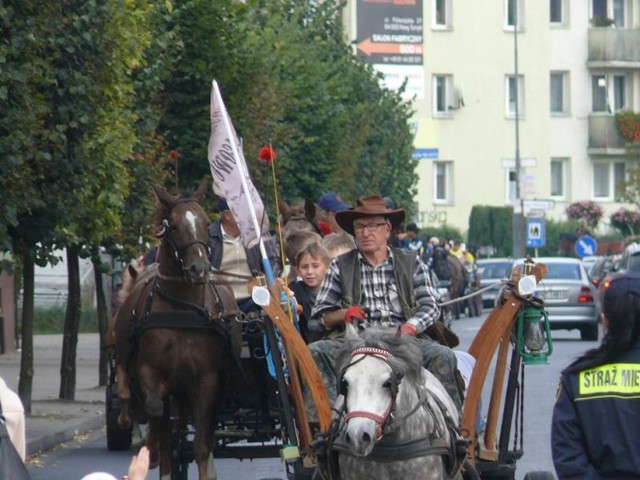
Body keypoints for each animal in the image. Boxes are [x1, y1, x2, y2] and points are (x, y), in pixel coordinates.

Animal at [112, 178, 240, 478]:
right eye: (174, 226)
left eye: (205, 223)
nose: (198, 269)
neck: (183, 310)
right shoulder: (150, 373)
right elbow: (156, 413)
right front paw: (153, 451)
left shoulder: (207, 380)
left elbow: (202, 444)